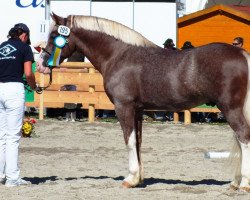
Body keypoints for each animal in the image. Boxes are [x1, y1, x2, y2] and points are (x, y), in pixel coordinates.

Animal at [36, 12, 250, 191]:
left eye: (54, 35)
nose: (40, 64)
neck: (118, 55)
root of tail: (241, 54)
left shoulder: (124, 107)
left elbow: (129, 141)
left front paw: (130, 179)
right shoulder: (138, 110)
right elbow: (138, 141)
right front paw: (139, 178)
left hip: (230, 108)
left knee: (244, 137)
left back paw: (244, 184)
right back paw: (235, 182)